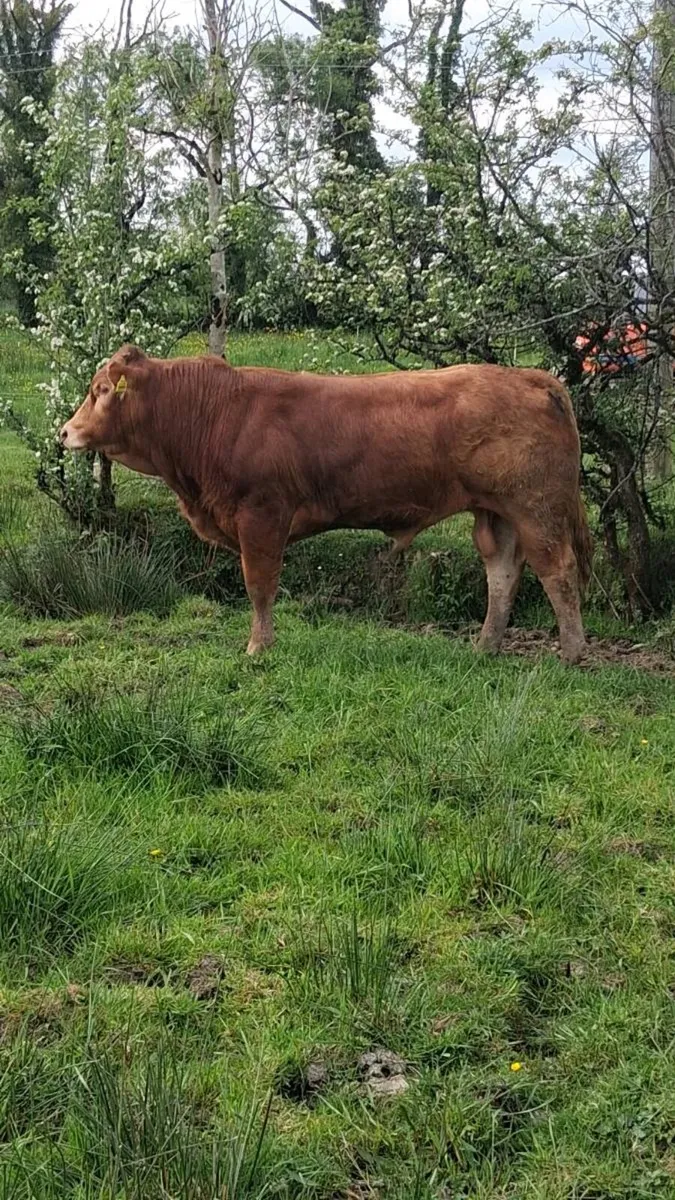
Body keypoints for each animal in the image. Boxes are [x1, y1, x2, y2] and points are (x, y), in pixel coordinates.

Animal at [60, 346, 593, 663]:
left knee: (558, 571)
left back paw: (571, 653)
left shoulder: (261, 516)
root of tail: (531, 377)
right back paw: (484, 646)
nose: (65, 432)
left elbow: (259, 586)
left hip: (535, 507)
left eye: (100, 391)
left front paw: (258, 647)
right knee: (502, 572)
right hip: (496, 512)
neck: (215, 414)